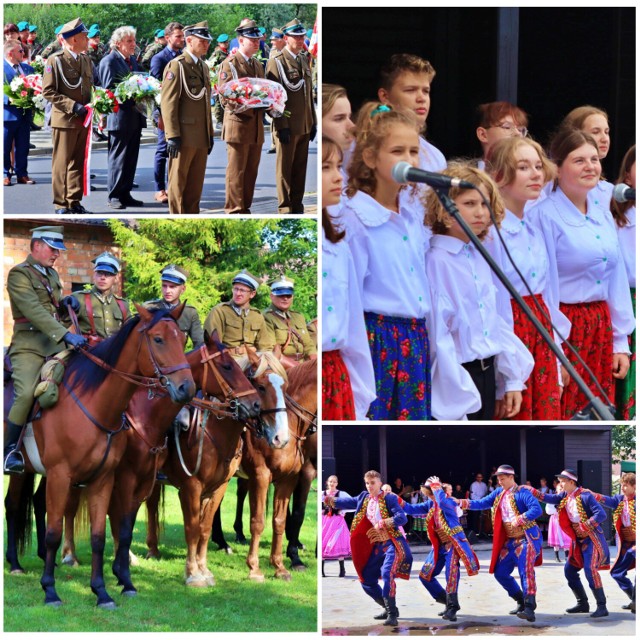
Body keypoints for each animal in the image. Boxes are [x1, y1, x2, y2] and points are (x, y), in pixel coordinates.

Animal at [5, 304, 195, 608]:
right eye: (158, 339)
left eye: (182, 338)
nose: (186, 388)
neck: (96, 404)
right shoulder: (61, 475)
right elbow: (54, 533)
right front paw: (50, 590)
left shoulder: (103, 479)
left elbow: (98, 536)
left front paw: (101, 591)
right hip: (25, 472)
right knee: (12, 506)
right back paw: (14, 563)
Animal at [55, 330, 260, 600]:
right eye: (227, 366)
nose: (256, 405)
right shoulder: (187, 486)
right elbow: (191, 528)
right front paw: (193, 574)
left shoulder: (216, 488)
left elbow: (203, 528)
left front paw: (204, 571)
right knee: (69, 508)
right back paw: (69, 555)